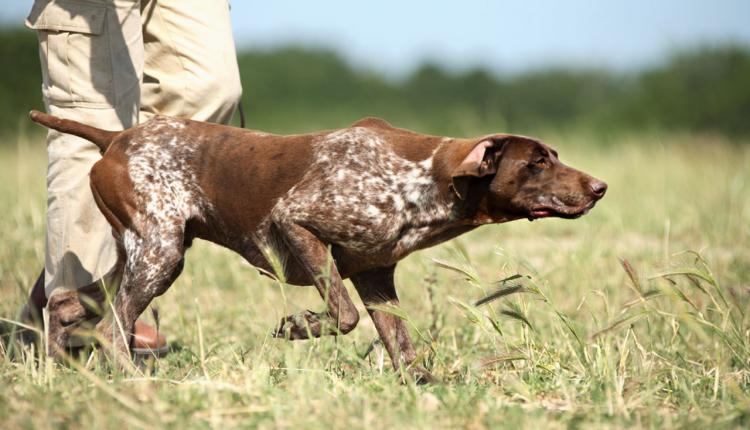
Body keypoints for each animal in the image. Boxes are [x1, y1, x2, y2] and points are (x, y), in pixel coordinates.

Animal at [29, 111, 608, 380]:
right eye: (537, 162)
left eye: (553, 156)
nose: (600, 187)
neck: (426, 179)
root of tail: (115, 138)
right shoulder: (298, 222)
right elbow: (343, 316)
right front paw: (299, 327)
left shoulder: (377, 278)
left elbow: (402, 347)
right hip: (160, 254)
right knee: (112, 328)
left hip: (146, 252)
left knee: (71, 304)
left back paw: (58, 364)